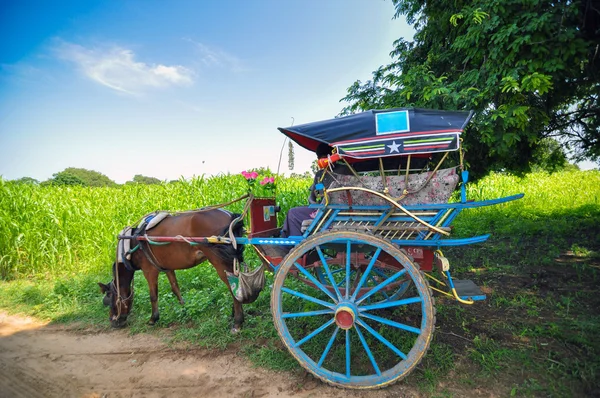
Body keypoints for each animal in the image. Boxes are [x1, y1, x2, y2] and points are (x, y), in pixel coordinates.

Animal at [98, 208, 246, 332]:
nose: (113, 321)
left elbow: (153, 295)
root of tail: (229, 215)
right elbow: (175, 288)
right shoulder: (167, 268)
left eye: (109, 296)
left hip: (219, 263)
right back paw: (234, 314)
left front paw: (153, 318)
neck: (131, 243)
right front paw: (184, 308)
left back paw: (237, 321)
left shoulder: (149, 270)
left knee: (234, 287)